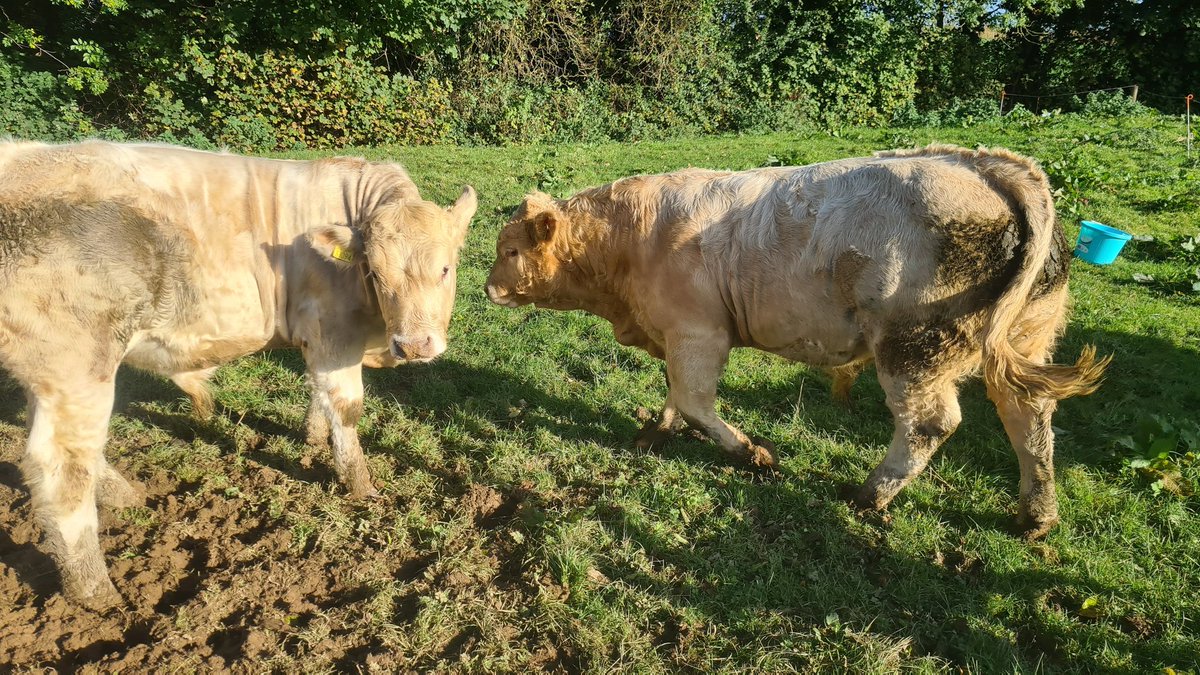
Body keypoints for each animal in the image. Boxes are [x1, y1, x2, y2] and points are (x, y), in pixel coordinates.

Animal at [0, 140, 477, 606]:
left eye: (445, 268)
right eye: (375, 273)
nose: (413, 345)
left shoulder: (318, 340)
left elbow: (317, 392)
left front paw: (312, 434)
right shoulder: (334, 330)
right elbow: (346, 407)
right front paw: (359, 483)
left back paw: (125, 496)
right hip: (77, 364)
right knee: (62, 470)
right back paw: (94, 589)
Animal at [485, 145, 1109, 540]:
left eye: (511, 251)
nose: (487, 287)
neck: (630, 242)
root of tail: (995, 166)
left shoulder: (698, 332)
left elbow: (693, 400)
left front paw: (751, 453)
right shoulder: (675, 335)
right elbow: (674, 395)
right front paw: (655, 432)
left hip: (914, 347)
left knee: (929, 424)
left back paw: (869, 496)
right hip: (1026, 338)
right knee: (1029, 416)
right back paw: (1036, 515)